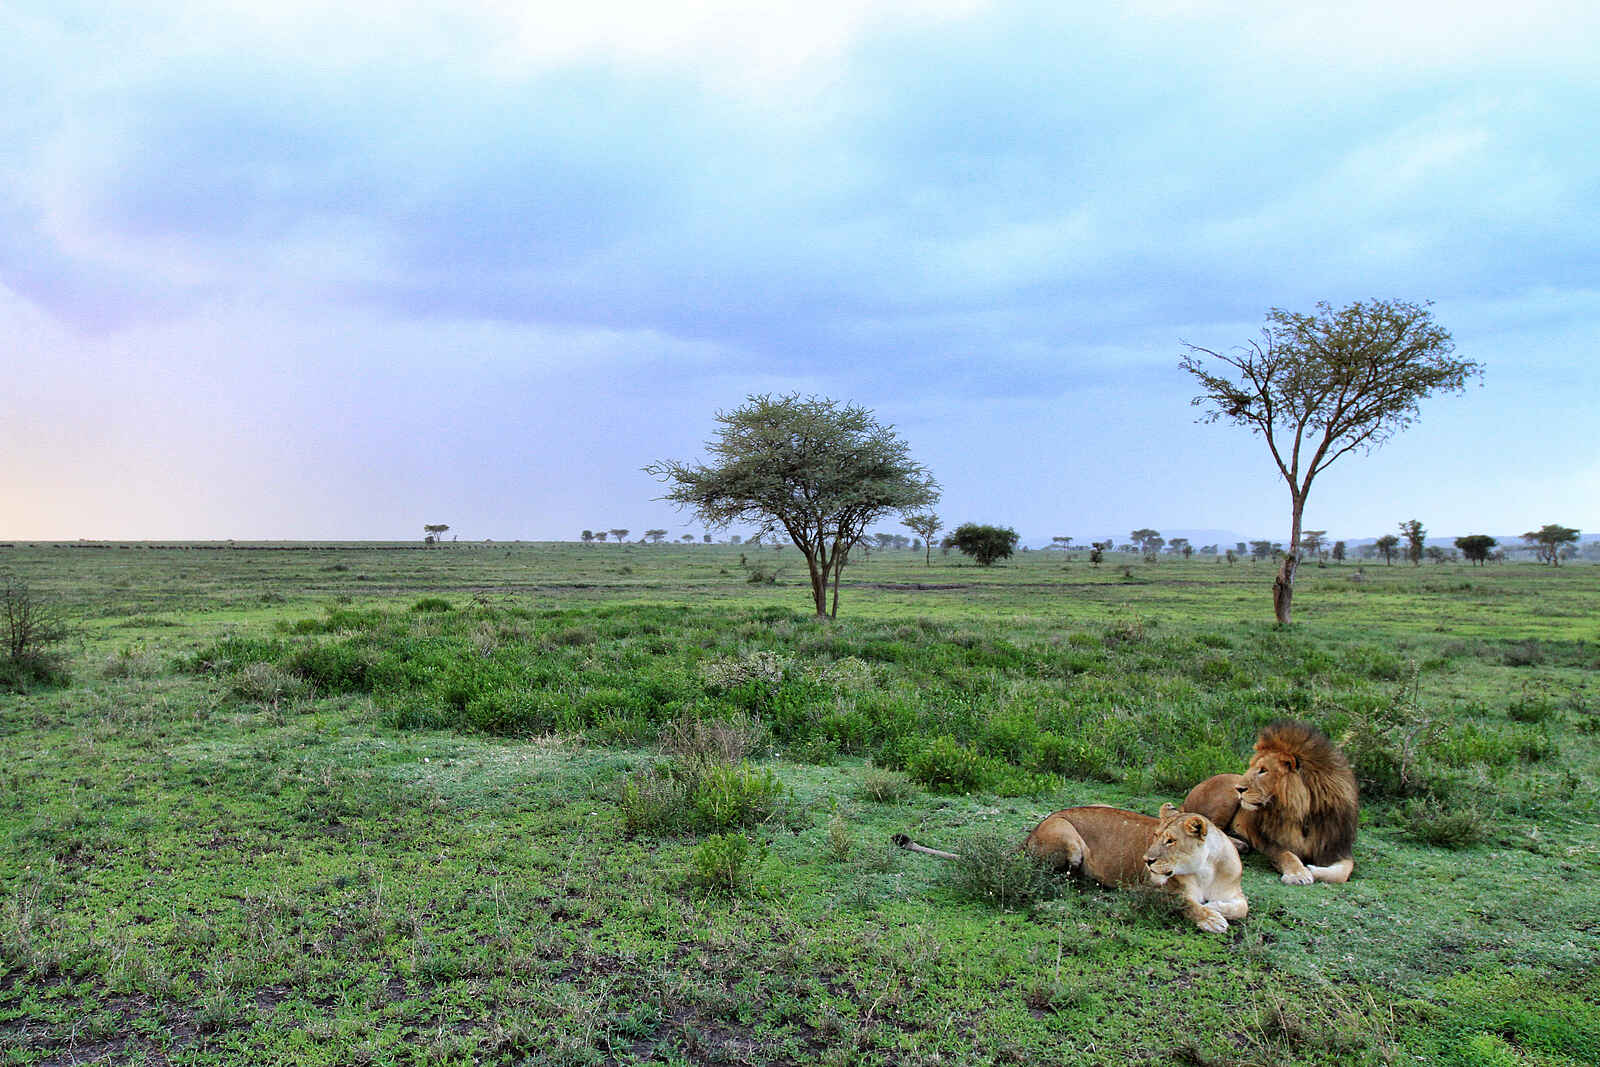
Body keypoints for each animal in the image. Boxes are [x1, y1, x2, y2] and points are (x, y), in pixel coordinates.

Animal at [895, 803, 1247, 933]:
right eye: (1155, 837)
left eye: (1171, 841)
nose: (1147, 860)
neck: (1206, 868)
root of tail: (1032, 832)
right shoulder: (1151, 890)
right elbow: (1185, 902)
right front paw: (1210, 918)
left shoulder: (1236, 892)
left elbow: (1240, 908)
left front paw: (1216, 908)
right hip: (1069, 838)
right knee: (1053, 875)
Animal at [1183, 721, 1358, 885]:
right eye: (1252, 766)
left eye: (1263, 770)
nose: (1239, 788)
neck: (1304, 813)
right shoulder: (1271, 843)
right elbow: (1287, 855)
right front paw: (1298, 874)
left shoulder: (1335, 847)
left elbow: (1345, 870)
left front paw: (1313, 869)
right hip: (1225, 796)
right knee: (1210, 829)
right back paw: (1239, 845)